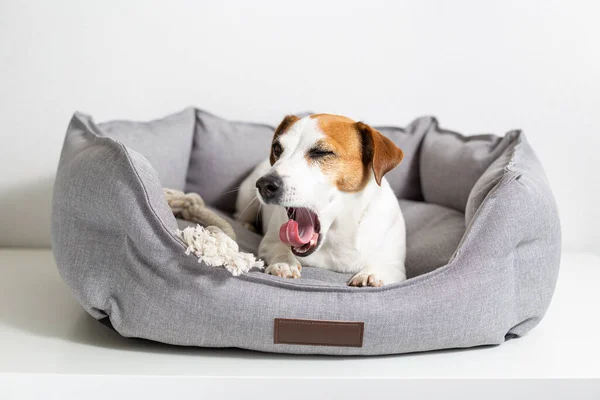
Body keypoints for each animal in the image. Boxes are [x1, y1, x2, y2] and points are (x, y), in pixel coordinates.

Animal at [234, 114, 408, 286]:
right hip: (246, 196)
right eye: (277, 149)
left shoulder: (397, 267)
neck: (335, 234)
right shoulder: (269, 242)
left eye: (320, 152)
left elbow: (386, 268)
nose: (264, 184)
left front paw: (371, 275)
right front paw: (284, 263)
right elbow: (278, 248)